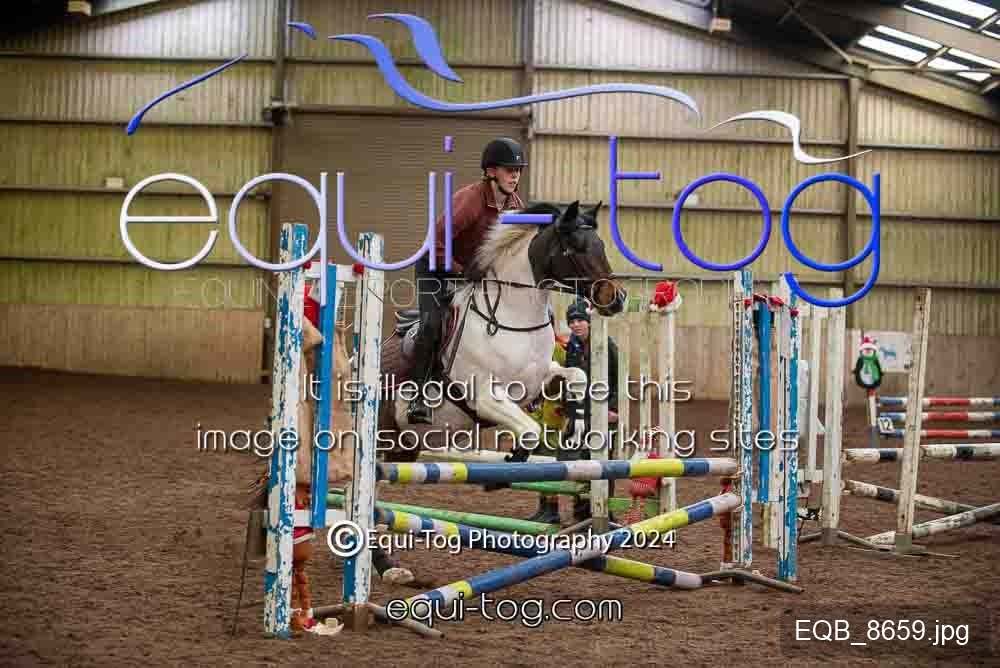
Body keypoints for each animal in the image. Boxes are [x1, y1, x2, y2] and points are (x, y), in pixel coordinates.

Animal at [378, 200, 627, 463]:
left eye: (601, 245)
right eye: (577, 247)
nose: (617, 299)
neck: (515, 317)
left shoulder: (539, 380)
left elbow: (578, 375)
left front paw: (575, 428)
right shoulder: (485, 397)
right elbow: (531, 430)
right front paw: (514, 457)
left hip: (403, 447)